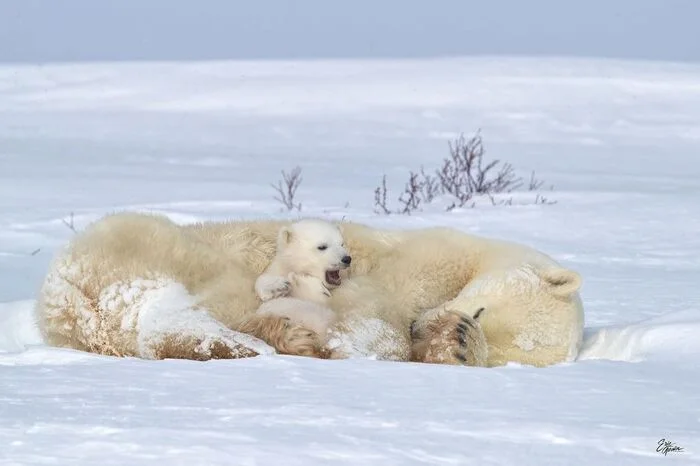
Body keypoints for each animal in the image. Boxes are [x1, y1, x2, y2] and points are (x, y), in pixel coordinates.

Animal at [37, 211, 584, 368]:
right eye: (483, 309)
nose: (424, 323)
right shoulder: (425, 260)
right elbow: (372, 310)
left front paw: (453, 345)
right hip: (158, 244)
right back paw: (246, 342)